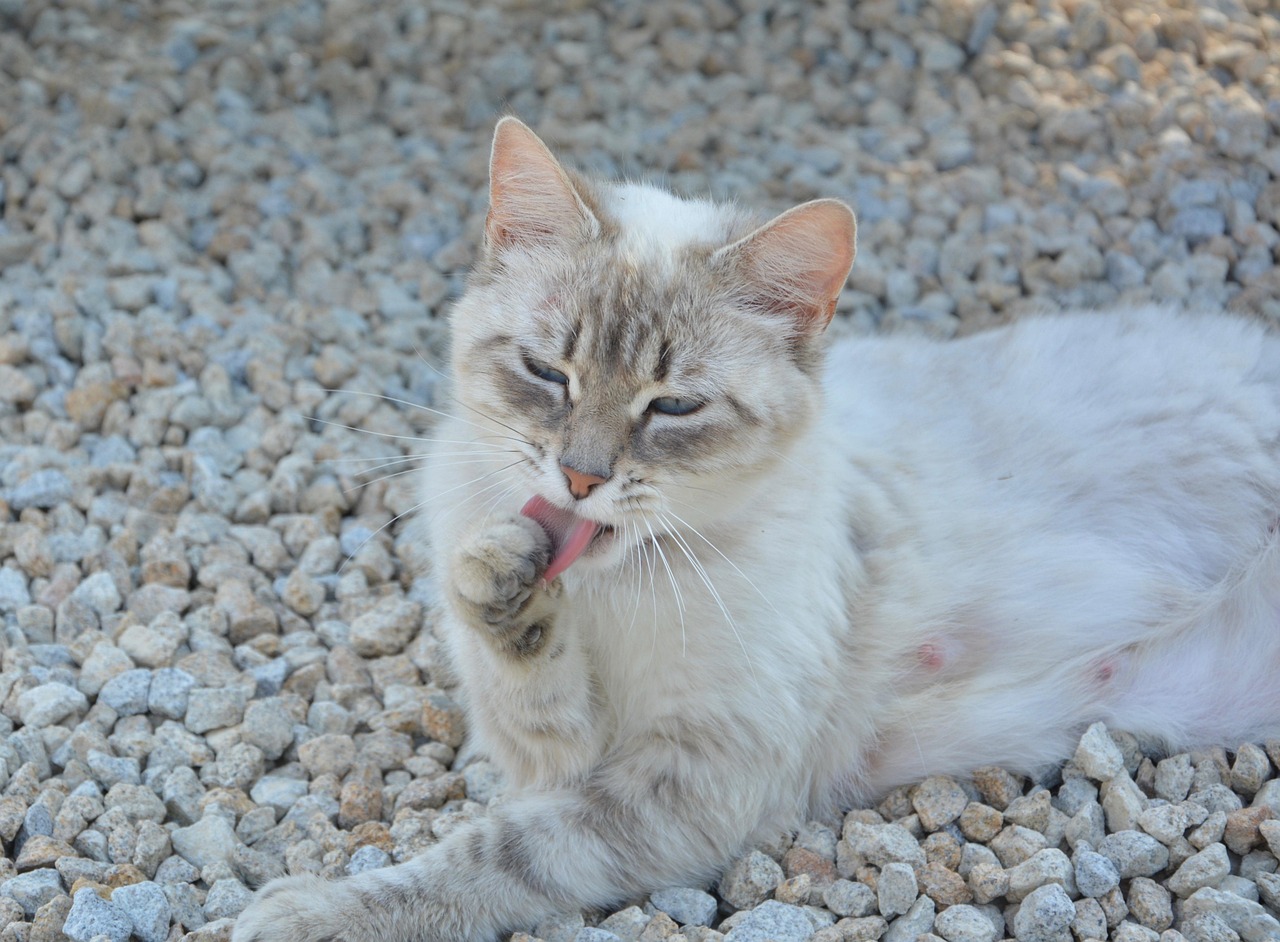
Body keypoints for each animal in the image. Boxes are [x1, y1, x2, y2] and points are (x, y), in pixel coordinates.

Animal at [232, 117, 1280, 941]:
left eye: (674, 407)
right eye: (545, 373)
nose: (579, 477)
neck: (617, 588)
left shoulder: (694, 777)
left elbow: (497, 855)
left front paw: (312, 915)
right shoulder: (558, 752)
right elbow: (522, 673)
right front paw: (504, 578)